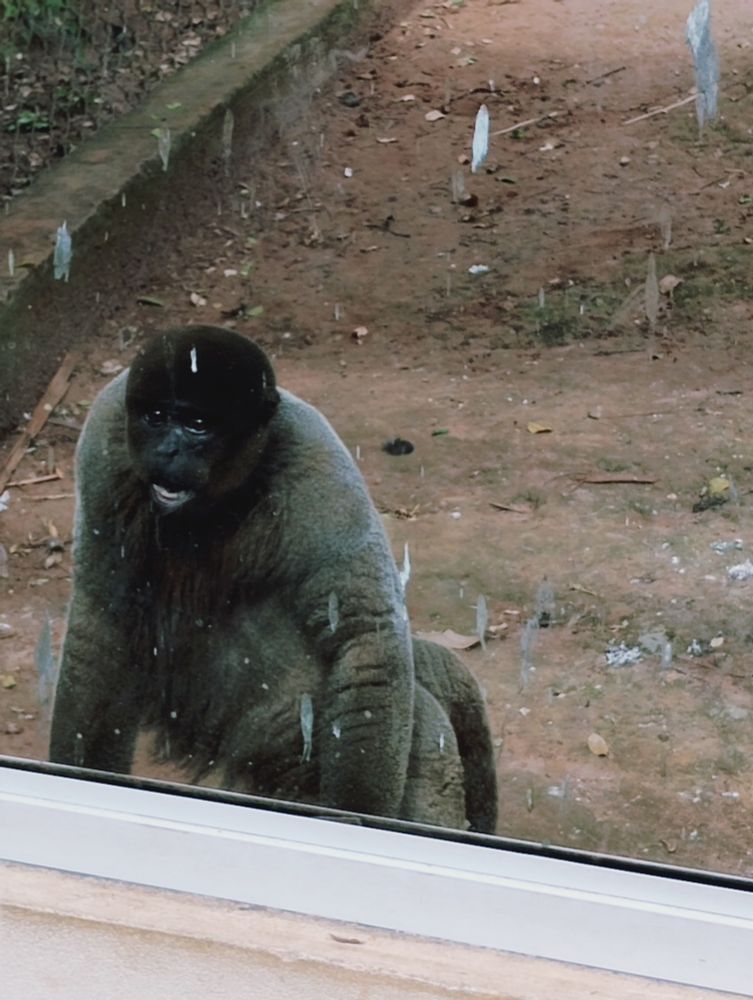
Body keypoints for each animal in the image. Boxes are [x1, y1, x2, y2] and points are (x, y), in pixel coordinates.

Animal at [49, 326, 498, 833]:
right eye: (157, 417)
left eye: (198, 425)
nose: (166, 451)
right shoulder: (106, 435)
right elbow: (101, 619)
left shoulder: (317, 463)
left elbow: (366, 639)